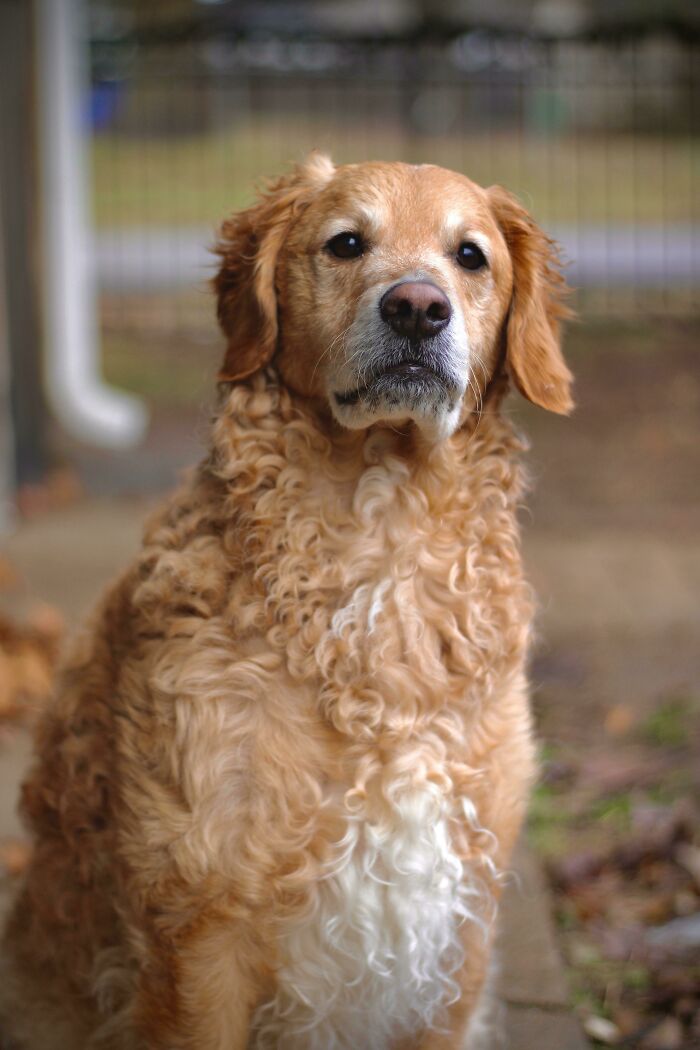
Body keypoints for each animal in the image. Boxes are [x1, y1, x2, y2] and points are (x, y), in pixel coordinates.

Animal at [0, 155, 570, 1050]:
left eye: (470, 256)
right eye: (346, 243)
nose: (417, 308)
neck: (383, 538)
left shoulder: (458, 937)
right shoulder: (200, 923)